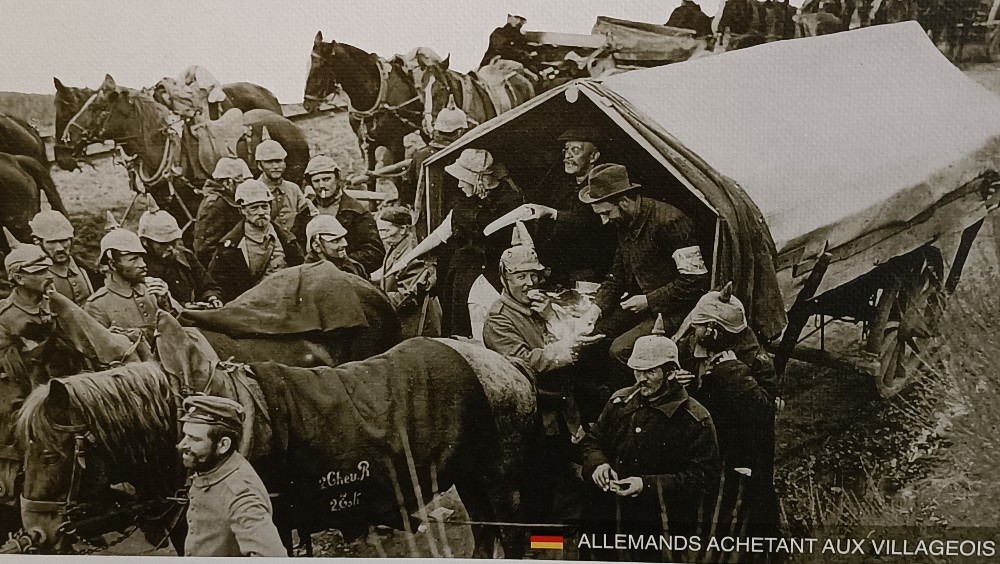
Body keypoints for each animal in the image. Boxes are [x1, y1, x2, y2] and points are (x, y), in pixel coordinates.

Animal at [17, 308, 534, 558]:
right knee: (484, 531)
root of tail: (504, 364)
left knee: (510, 534)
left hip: (501, 479)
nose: (35, 532)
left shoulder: (273, 524)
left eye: (50, 455)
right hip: (469, 477)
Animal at [304, 33, 425, 186]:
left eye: (322, 65)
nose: (307, 104)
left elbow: (398, 178)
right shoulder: (365, 146)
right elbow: (370, 179)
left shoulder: (396, 143)